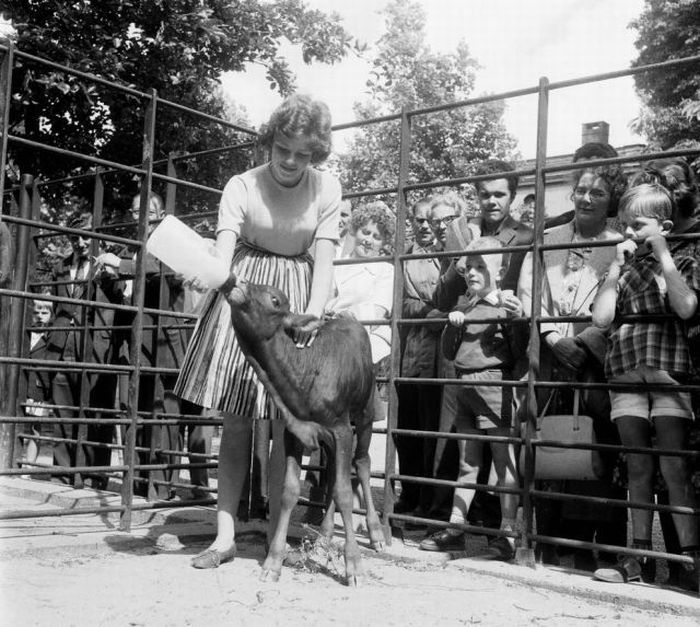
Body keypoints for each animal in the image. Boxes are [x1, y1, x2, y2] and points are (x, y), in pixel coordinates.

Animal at [224, 278, 386, 588]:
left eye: (275, 299)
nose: (239, 283)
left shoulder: (341, 428)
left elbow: (345, 492)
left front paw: (354, 566)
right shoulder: (295, 432)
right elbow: (289, 491)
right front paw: (273, 562)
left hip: (365, 413)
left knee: (361, 464)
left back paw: (376, 533)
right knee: (335, 473)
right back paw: (324, 535)